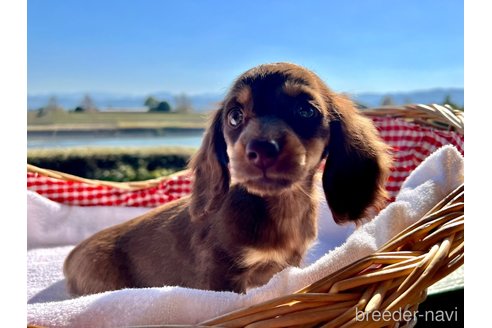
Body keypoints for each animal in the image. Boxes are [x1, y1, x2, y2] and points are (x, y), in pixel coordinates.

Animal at [63, 61, 392, 294]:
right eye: (235, 116)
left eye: (305, 110)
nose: (261, 149)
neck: (279, 207)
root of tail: (70, 258)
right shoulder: (220, 272)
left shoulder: (286, 265)